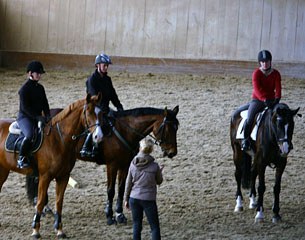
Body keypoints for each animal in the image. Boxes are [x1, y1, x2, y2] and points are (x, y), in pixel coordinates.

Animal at [0, 94, 103, 238]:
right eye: (88, 113)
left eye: (101, 113)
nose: (98, 136)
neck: (59, 140)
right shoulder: (45, 177)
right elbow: (40, 202)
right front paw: (36, 230)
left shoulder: (63, 177)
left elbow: (59, 203)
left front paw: (59, 230)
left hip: (3, 170)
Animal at [26, 105, 178, 225]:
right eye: (168, 128)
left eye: (177, 128)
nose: (172, 152)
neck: (125, 131)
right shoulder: (112, 165)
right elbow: (110, 190)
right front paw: (109, 216)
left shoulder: (125, 165)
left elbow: (121, 189)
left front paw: (120, 215)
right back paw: (43, 207)